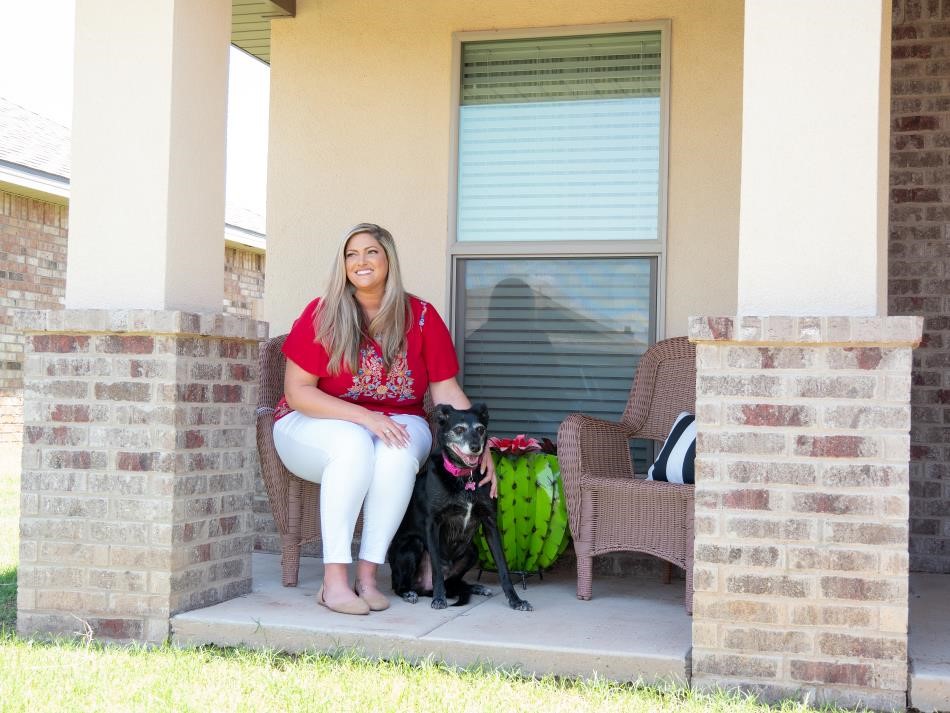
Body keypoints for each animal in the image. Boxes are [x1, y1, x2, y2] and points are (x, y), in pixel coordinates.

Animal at [388, 404, 536, 608]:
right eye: (459, 430)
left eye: (480, 430)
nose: (476, 448)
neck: (465, 477)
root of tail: (424, 589)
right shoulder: (432, 524)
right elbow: (436, 568)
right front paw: (439, 598)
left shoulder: (490, 522)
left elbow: (503, 567)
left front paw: (515, 600)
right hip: (412, 544)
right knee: (400, 585)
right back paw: (411, 593)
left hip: (472, 551)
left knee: (454, 582)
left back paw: (475, 588)